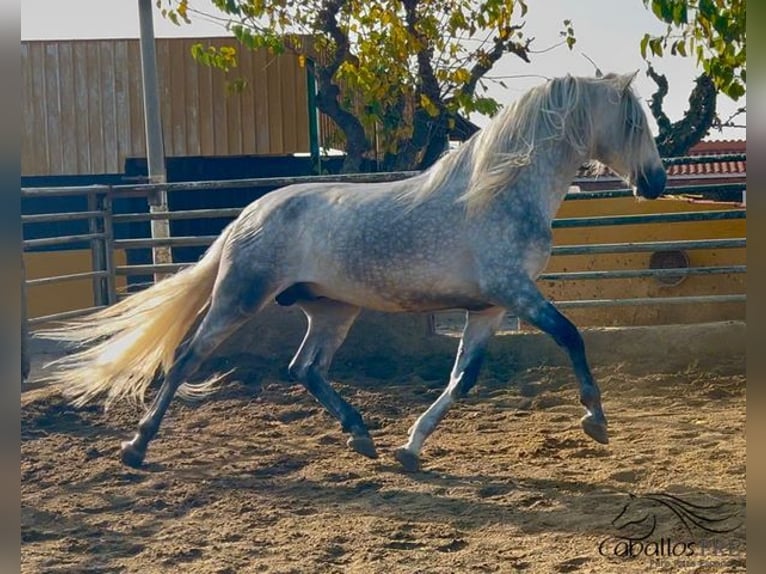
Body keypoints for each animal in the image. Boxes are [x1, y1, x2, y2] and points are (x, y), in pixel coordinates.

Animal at [42, 73, 664, 472]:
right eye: (634, 121)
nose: (656, 182)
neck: (498, 190)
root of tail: (250, 212)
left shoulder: (489, 308)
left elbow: (461, 380)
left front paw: (410, 450)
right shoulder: (515, 292)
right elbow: (570, 335)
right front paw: (595, 421)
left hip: (331, 309)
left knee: (304, 368)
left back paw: (361, 435)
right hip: (241, 297)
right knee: (187, 358)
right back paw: (136, 447)